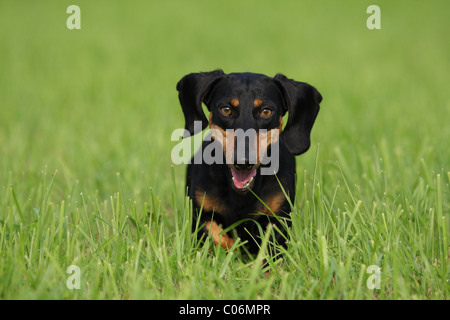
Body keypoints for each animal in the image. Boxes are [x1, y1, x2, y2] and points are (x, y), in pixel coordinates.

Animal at [176, 70, 320, 258]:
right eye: (226, 109)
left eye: (266, 111)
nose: (243, 163)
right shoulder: (201, 215)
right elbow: (217, 236)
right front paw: (233, 249)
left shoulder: (277, 219)